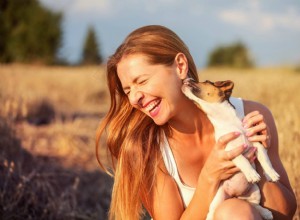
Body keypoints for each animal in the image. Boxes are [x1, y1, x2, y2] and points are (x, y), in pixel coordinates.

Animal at [182, 79, 280, 220]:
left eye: (206, 81)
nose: (187, 79)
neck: (226, 120)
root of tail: (235, 195)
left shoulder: (257, 143)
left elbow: (265, 159)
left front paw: (272, 173)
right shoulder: (228, 150)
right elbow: (242, 160)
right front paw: (251, 173)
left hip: (255, 192)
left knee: (254, 205)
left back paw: (266, 212)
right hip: (219, 197)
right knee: (212, 210)